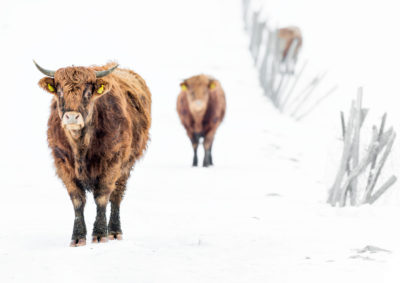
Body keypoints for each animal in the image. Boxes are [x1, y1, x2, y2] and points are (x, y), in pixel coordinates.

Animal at [34, 61, 152, 246]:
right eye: (60, 91)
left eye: (88, 93)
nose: (72, 117)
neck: (81, 146)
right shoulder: (62, 164)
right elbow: (77, 200)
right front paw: (77, 237)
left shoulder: (113, 161)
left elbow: (102, 196)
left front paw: (99, 234)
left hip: (126, 165)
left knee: (116, 196)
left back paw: (115, 231)